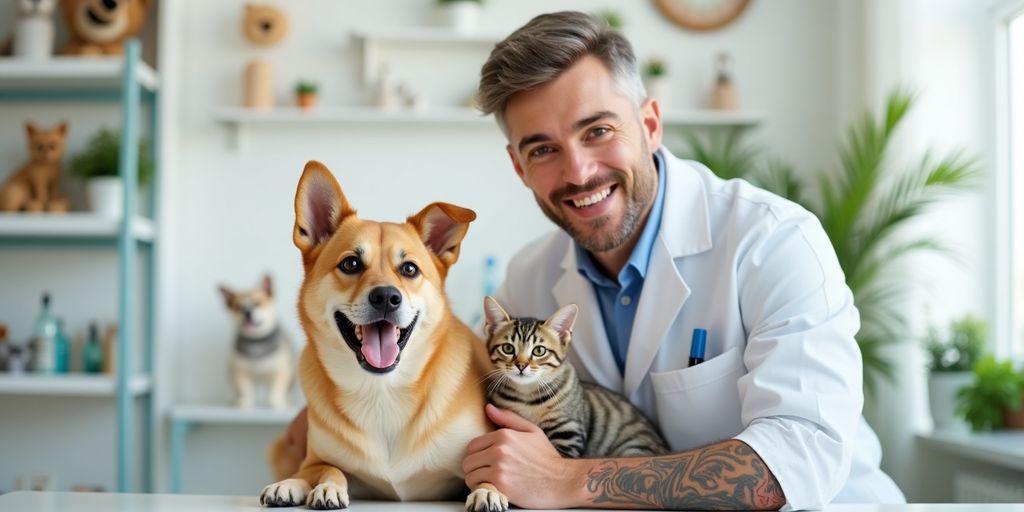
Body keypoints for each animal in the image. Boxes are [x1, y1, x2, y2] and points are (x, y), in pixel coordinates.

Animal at [260, 161, 507, 509]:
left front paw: (488, 489)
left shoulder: (478, 455)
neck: (382, 391)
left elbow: (487, 473)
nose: (387, 297)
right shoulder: (315, 458)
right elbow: (324, 468)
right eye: (350, 263)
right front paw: (310, 485)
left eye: (409, 269)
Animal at [481, 294, 667, 458]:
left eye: (539, 351)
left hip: (634, 447)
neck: (527, 396)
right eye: (508, 348)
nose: (521, 365)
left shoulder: (568, 431)